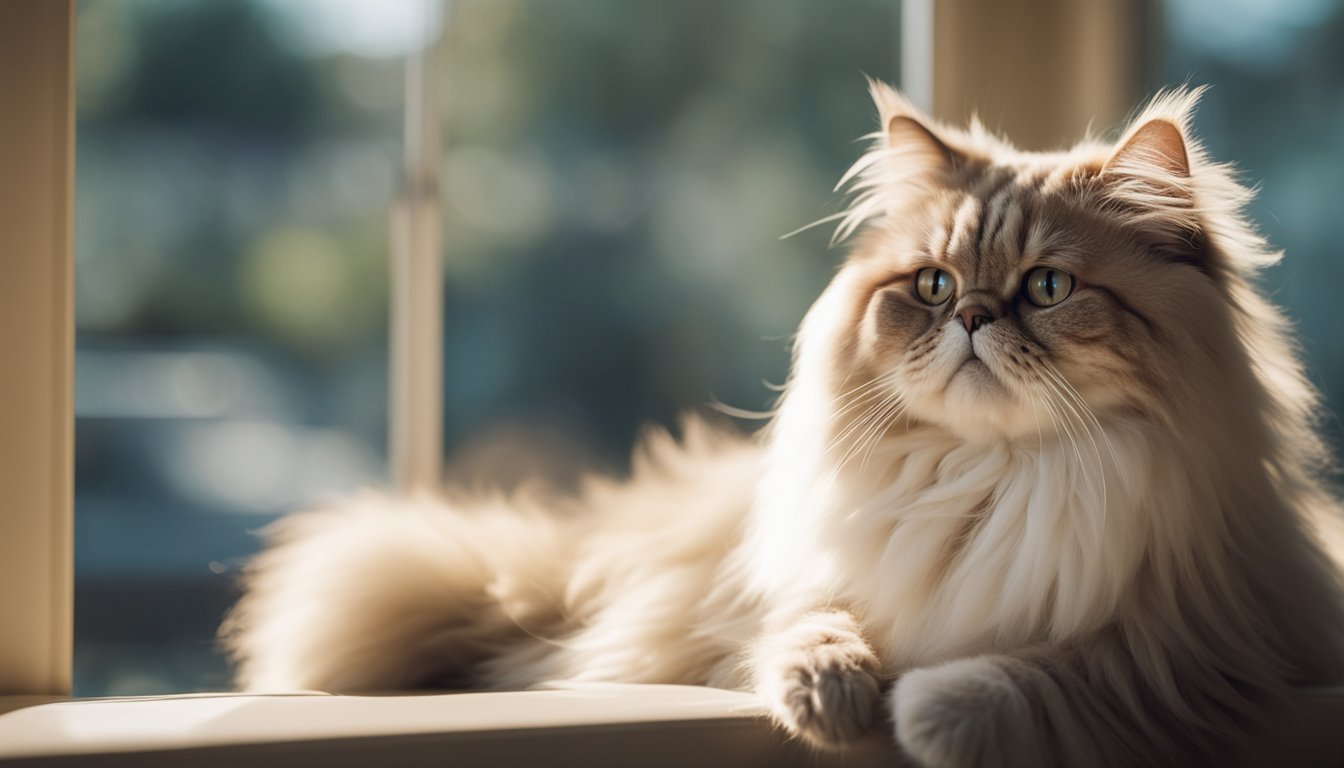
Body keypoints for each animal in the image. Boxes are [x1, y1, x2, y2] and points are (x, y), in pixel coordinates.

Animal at [223, 84, 1344, 768]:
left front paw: (927, 712)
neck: (988, 479)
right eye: (933, 287)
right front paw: (834, 695)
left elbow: (1045, 671)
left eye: (1048, 288)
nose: (973, 318)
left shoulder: (1193, 650)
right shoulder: (799, 586)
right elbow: (811, 623)